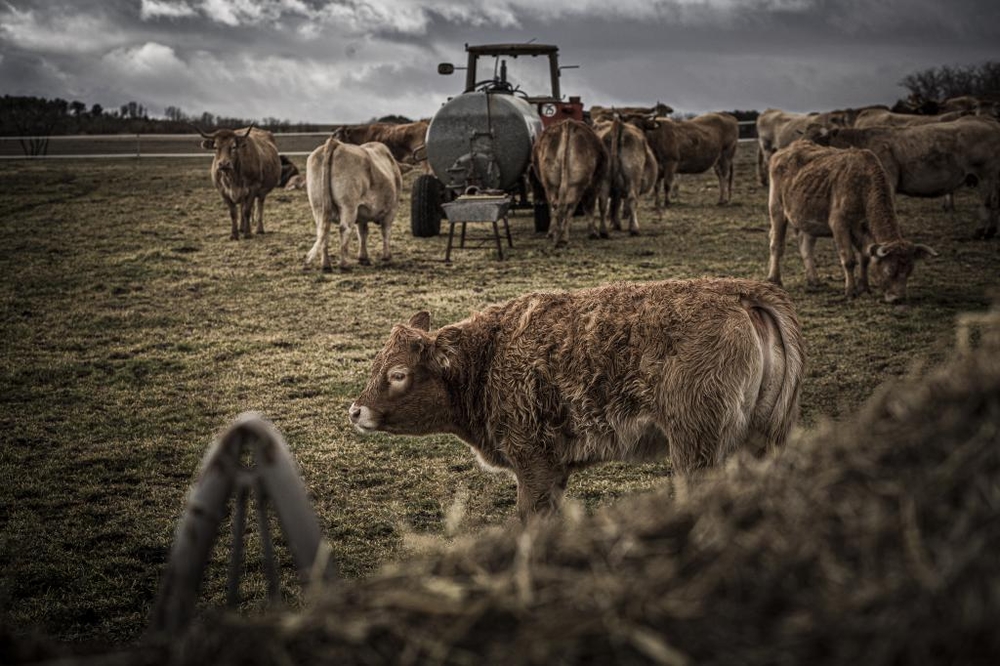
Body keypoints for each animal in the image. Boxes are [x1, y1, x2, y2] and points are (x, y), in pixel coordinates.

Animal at [302, 136, 400, 272]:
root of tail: (336, 143)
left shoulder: (362, 213)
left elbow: (363, 232)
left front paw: (363, 258)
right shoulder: (391, 210)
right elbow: (385, 231)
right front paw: (387, 258)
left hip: (318, 206)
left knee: (323, 231)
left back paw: (326, 265)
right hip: (348, 206)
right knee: (344, 228)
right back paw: (344, 264)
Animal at [350, 274, 804, 520]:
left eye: (398, 374)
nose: (356, 410)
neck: (488, 359)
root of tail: (743, 295)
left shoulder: (534, 462)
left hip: (697, 446)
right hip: (764, 438)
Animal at [764, 143, 936, 304]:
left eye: (909, 270)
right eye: (890, 270)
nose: (898, 298)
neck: (863, 185)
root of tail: (783, 151)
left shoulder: (861, 228)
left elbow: (865, 257)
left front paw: (864, 288)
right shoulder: (839, 224)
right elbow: (849, 259)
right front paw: (850, 291)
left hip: (807, 218)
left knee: (806, 246)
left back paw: (814, 280)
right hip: (777, 209)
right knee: (777, 244)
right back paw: (775, 279)